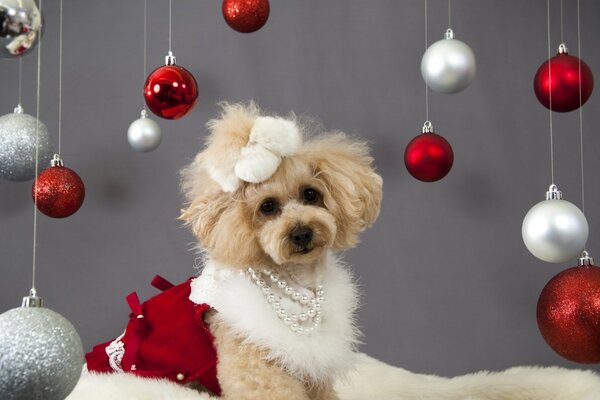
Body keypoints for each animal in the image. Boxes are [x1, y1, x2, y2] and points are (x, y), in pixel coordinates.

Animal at [67, 103, 600, 400]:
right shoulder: (259, 367)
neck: (296, 287)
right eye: (266, 208)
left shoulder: (310, 366)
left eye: (311, 195)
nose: (301, 232)